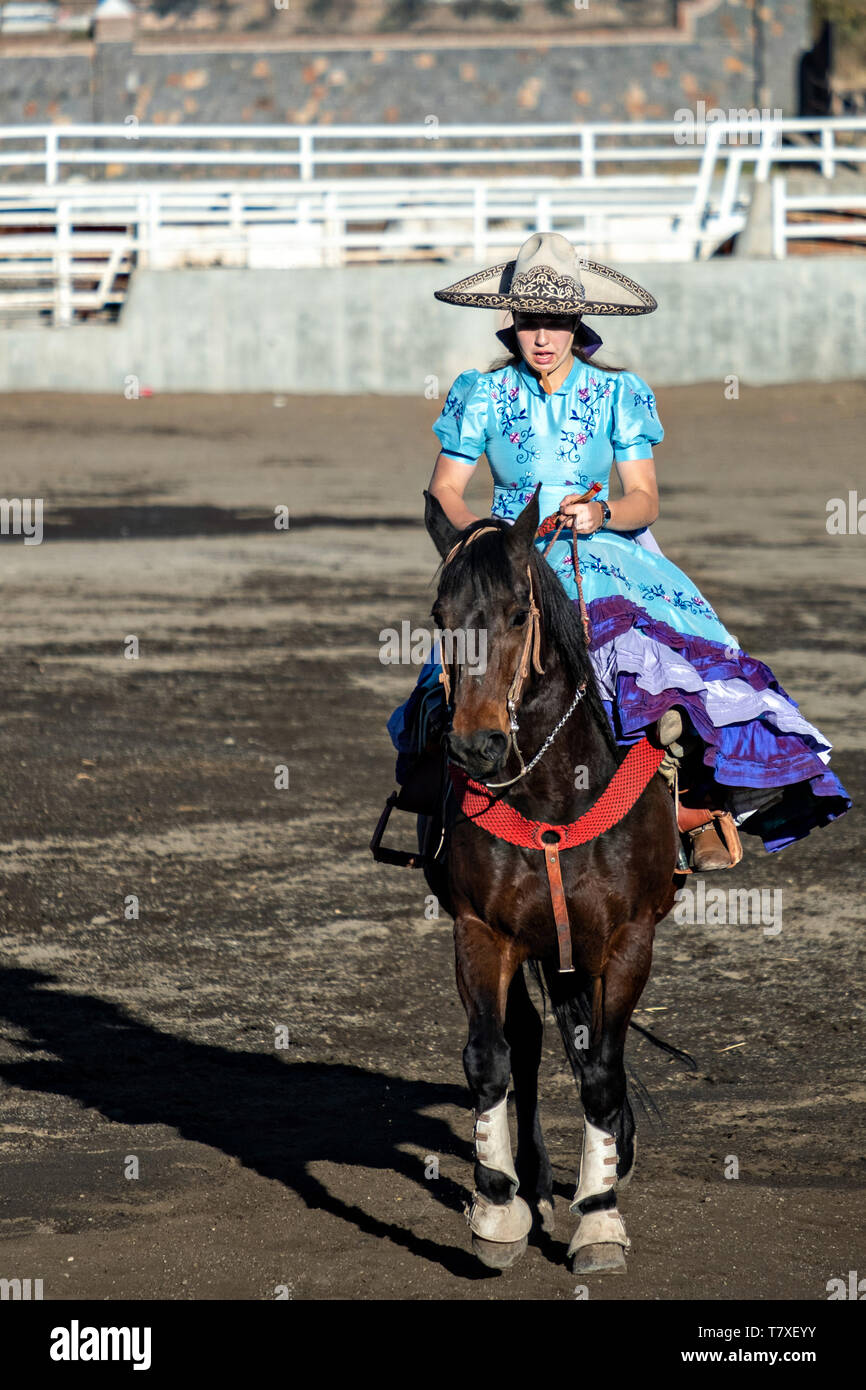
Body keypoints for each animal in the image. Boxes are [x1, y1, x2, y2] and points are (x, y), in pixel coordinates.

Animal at [422, 486, 683, 1273]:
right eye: (439, 618)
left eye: (516, 614)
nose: (476, 745)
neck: (552, 798)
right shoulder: (480, 930)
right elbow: (490, 1058)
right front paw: (496, 1208)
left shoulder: (627, 940)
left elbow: (601, 1070)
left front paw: (599, 1218)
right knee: (531, 1044)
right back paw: (529, 1182)